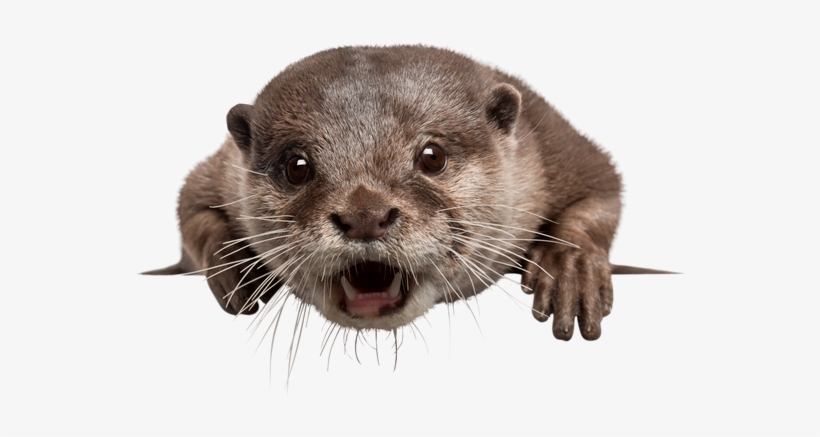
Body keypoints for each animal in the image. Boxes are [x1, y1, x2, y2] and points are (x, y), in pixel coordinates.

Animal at [145, 45, 671, 341]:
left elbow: (601, 194)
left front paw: (569, 268)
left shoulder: (553, 146)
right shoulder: (219, 170)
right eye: (297, 166)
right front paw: (235, 264)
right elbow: (189, 205)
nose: (365, 215)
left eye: (431, 156)